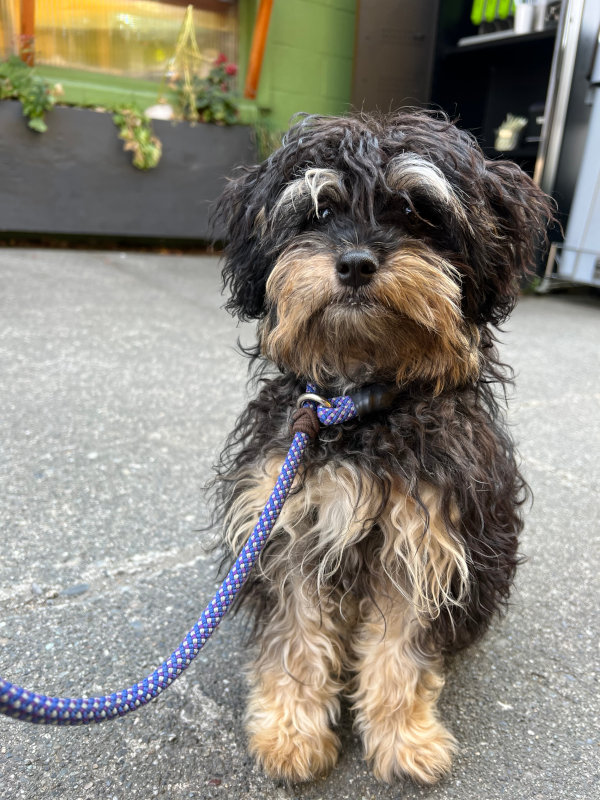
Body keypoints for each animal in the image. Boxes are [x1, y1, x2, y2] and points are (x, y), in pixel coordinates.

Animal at [213, 109, 552, 784]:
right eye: (319, 212)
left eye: (419, 213)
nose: (355, 263)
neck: (362, 407)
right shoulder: (292, 527)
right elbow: (297, 640)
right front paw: (291, 735)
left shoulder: (425, 542)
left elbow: (402, 654)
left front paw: (404, 739)